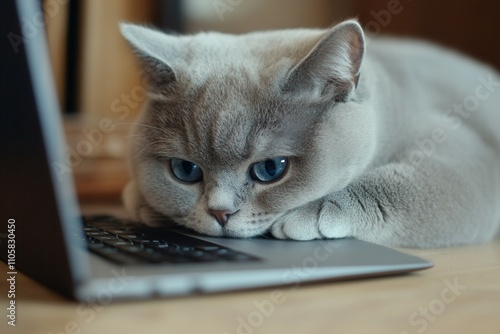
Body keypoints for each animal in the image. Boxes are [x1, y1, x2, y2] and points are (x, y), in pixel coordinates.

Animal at [120, 19, 500, 247]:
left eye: (270, 169)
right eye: (185, 170)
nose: (220, 213)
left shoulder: (467, 159)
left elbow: (401, 187)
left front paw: (312, 214)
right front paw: (143, 201)